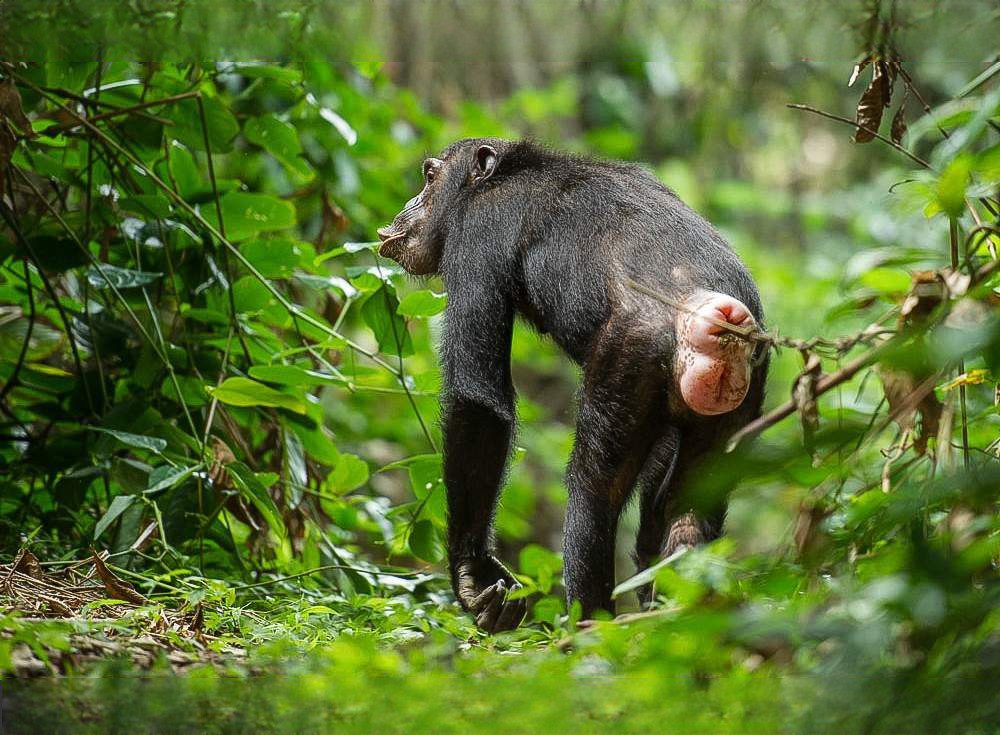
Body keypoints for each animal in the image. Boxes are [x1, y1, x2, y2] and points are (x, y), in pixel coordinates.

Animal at [378, 138, 768, 632]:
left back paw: (590, 627)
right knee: (690, 501)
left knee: (593, 487)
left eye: (429, 177)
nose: (410, 204)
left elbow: (478, 398)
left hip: (631, 357)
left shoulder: (475, 239)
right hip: (741, 398)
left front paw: (472, 573)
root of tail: (722, 319)